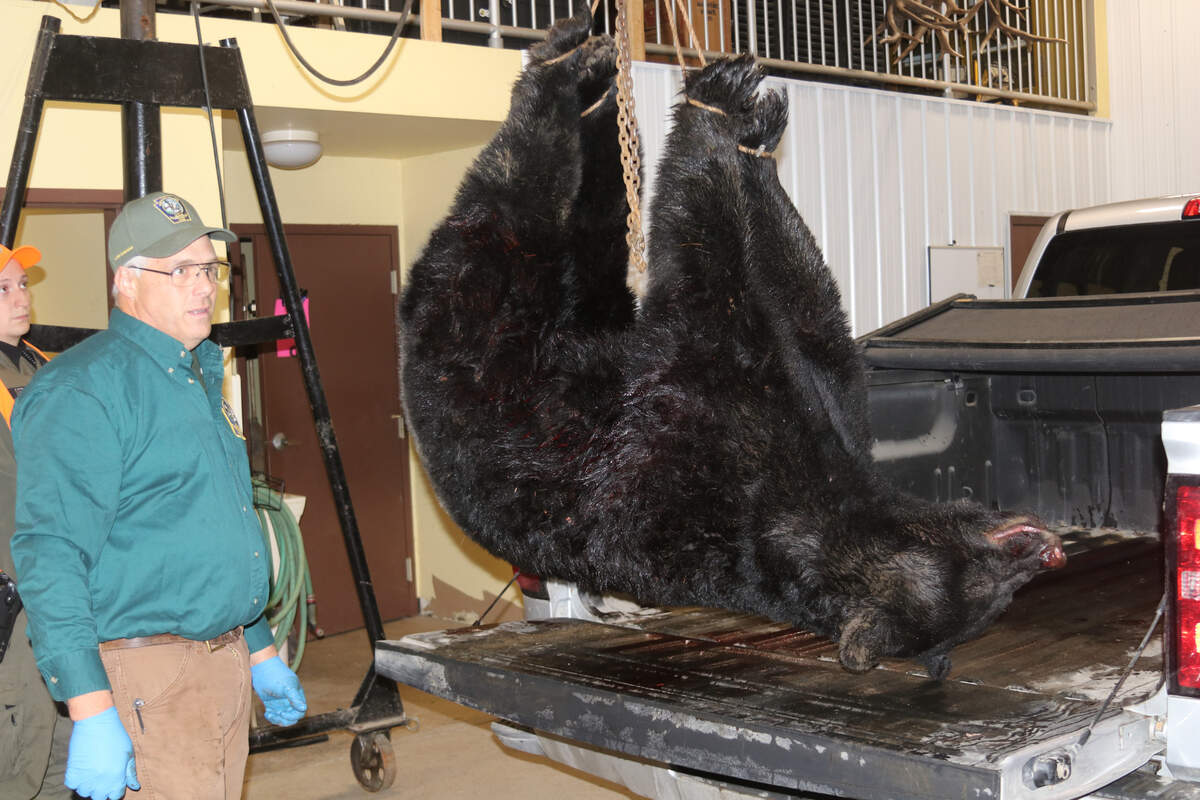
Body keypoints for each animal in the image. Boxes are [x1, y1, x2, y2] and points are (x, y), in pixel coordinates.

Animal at [398, 8, 1065, 679]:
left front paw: (718, 114)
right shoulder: (757, 419)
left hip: (491, 308)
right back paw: (584, 70)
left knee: (537, 203)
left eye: (996, 592)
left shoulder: (719, 432)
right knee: (547, 203)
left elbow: (719, 278)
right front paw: (747, 128)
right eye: (990, 574)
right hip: (485, 318)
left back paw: (572, 74)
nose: (1047, 551)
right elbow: (801, 314)